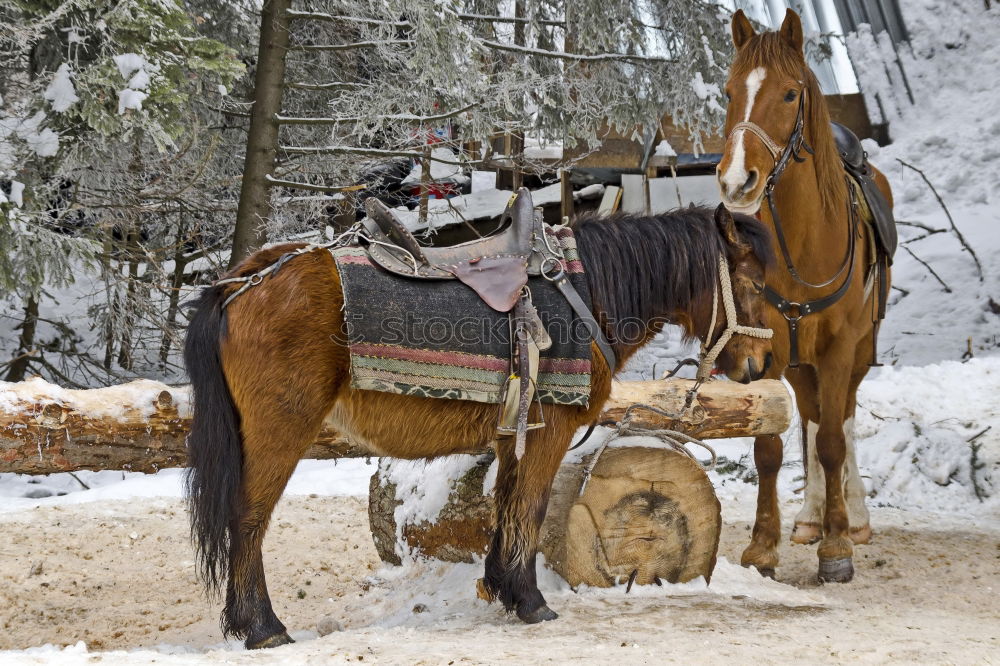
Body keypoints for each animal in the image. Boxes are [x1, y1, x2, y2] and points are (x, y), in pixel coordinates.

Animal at [186, 205, 772, 644]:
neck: (588, 292)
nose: (758, 366)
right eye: (752, 282)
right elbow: (531, 507)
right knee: (248, 520)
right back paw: (262, 627)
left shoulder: (517, 434)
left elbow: (507, 505)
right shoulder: (550, 431)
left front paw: (502, 589)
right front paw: (531, 602)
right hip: (280, 431)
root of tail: (243, 282)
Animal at [716, 10, 896, 580]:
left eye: (791, 94)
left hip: (860, 350)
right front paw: (763, 546)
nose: (736, 180)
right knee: (815, 417)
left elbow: (836, 441)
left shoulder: (840, 350)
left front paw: (837, 548)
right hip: (799, 360)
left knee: (843, 419)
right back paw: (812, 516)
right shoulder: (767, 351)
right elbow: (770, 448)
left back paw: (852, 518)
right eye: (729, 92)